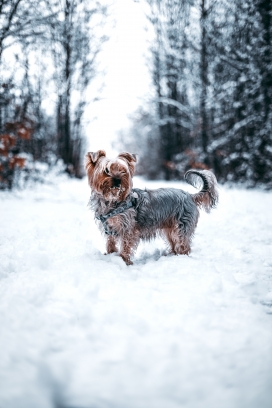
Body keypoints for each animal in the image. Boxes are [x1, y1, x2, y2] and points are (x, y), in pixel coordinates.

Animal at [86, 151, 219, 266]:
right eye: (106, 170)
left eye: (123, 171)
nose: (118, 180)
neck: (112, 201)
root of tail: (190, 196)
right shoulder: (110, 228)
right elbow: (110, 243)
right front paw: (110, 254)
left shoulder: (128, 229)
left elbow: (125, 246)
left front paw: (124, 261)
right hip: (170, 229)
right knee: (174, 244)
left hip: (181, 227)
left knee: (183, 245)